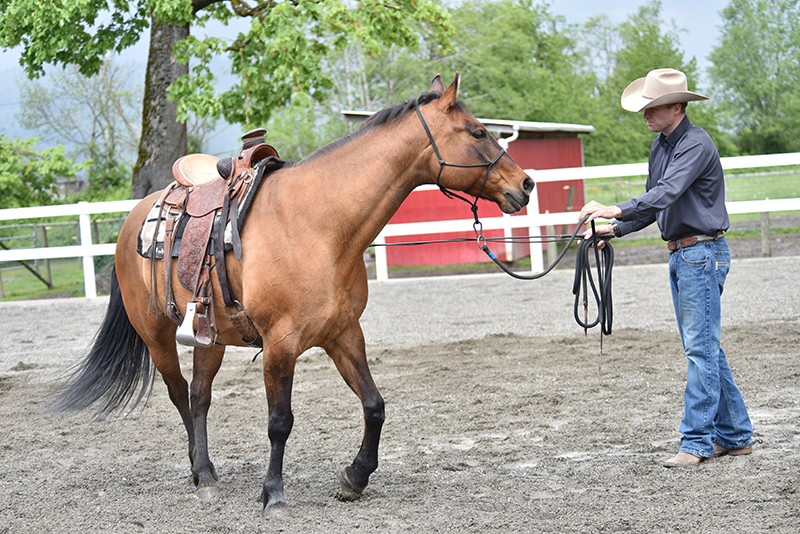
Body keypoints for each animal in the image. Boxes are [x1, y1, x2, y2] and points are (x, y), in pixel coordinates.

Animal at [53, 73, 535, 514]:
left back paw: (205, 472)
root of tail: (134, 217)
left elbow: (375, 405)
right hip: (155, 336)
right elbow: (279, 422)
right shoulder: (280, 344)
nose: (526, 184)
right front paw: (273, 494)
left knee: (199, 396)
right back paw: (201, 472)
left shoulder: (344, 334)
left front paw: (354, 477)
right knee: (178, 394)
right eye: (477, 132)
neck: (319, 226)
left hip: (210, 337)